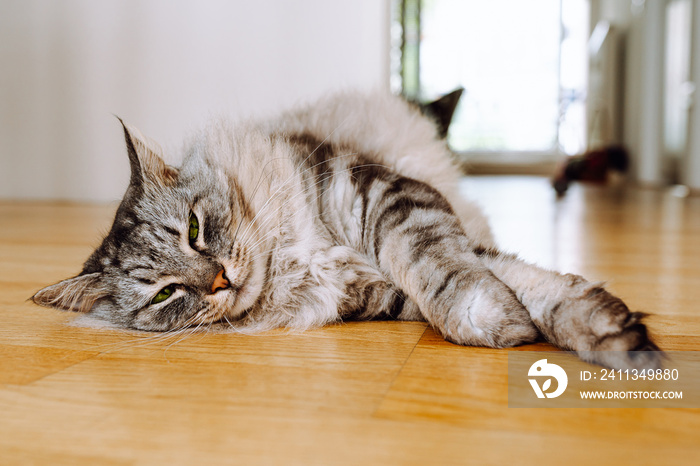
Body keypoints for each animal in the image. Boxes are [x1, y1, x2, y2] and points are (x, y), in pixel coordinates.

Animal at [30, 90, 660, 368]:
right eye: (165, 295)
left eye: (193, 228)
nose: (219, 281)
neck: (292, 262)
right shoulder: (384, 293)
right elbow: (507, 284)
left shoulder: (383, 198)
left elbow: (453, 268)